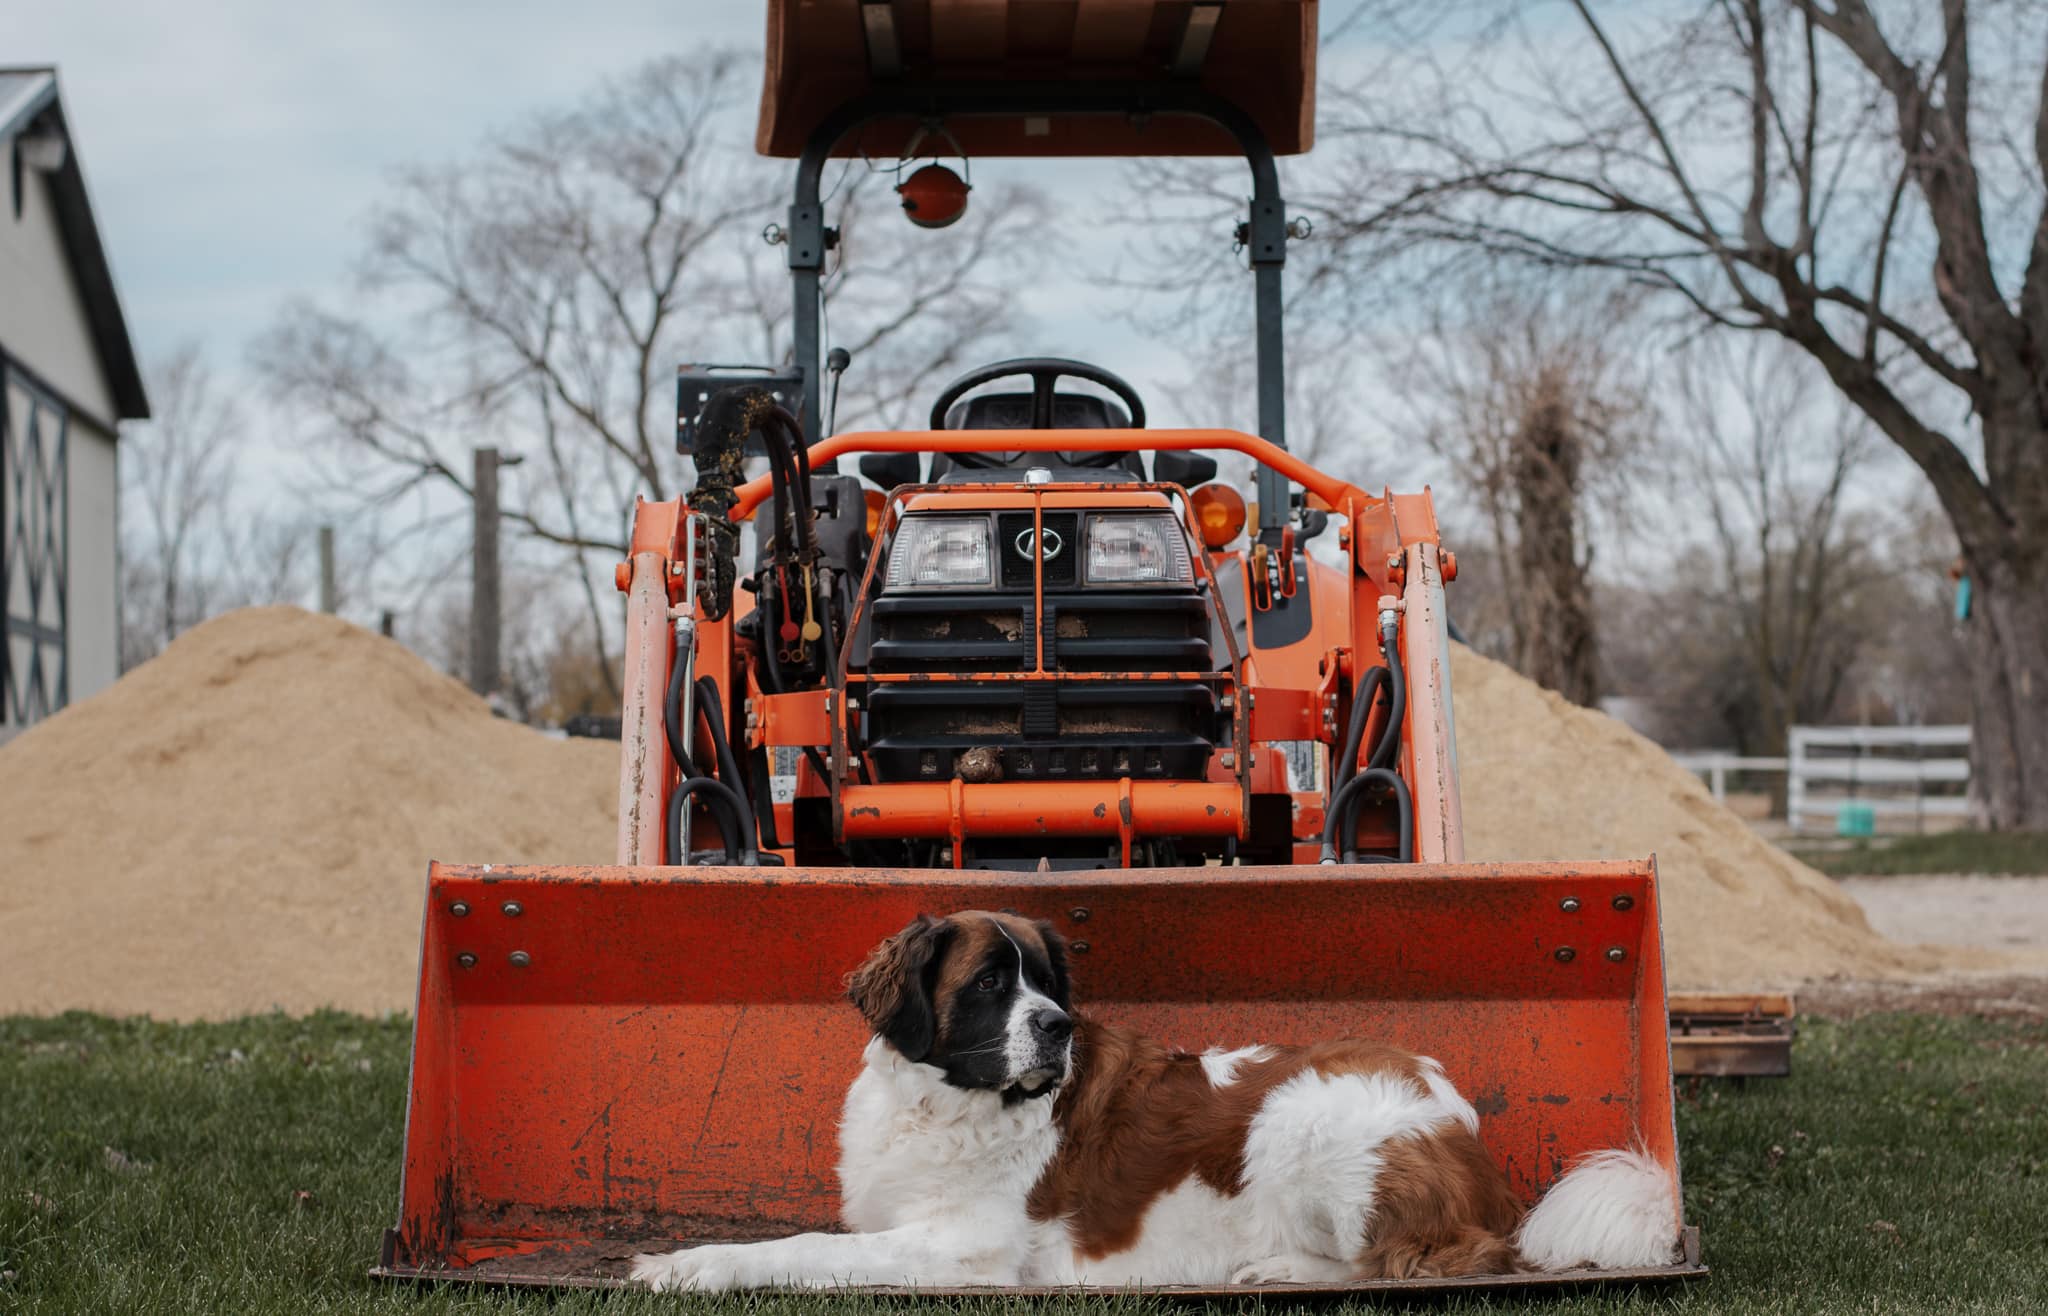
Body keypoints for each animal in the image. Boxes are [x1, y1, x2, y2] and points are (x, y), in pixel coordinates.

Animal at [634, 912, 1679, 1293]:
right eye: (990, 983)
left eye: (1047, 981)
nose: (1057, 1025)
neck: (956, 1100)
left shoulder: (966, 1248)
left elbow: (802, 1248)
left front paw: (694, 1266)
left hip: (1304, 1119)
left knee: (1414, 1259)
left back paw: (1281, 1269)